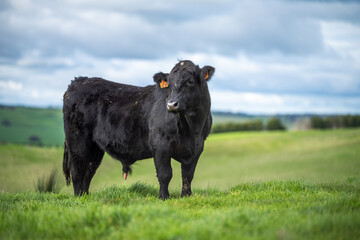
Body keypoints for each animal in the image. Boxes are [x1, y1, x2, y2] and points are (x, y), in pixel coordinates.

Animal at [62, 60, 214, 199]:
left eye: (190, 81)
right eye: (169, 84)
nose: (171, 105)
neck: (191, 129)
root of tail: (79, 80)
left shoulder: (197, 147)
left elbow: (188, 175)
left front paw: (186, 195)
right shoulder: (160, 144)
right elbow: (165, 174)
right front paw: (163, 197)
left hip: (95, 147)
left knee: (89, 169)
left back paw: (85, 196)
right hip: (77, 141)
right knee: (78, 170)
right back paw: (79, 198)